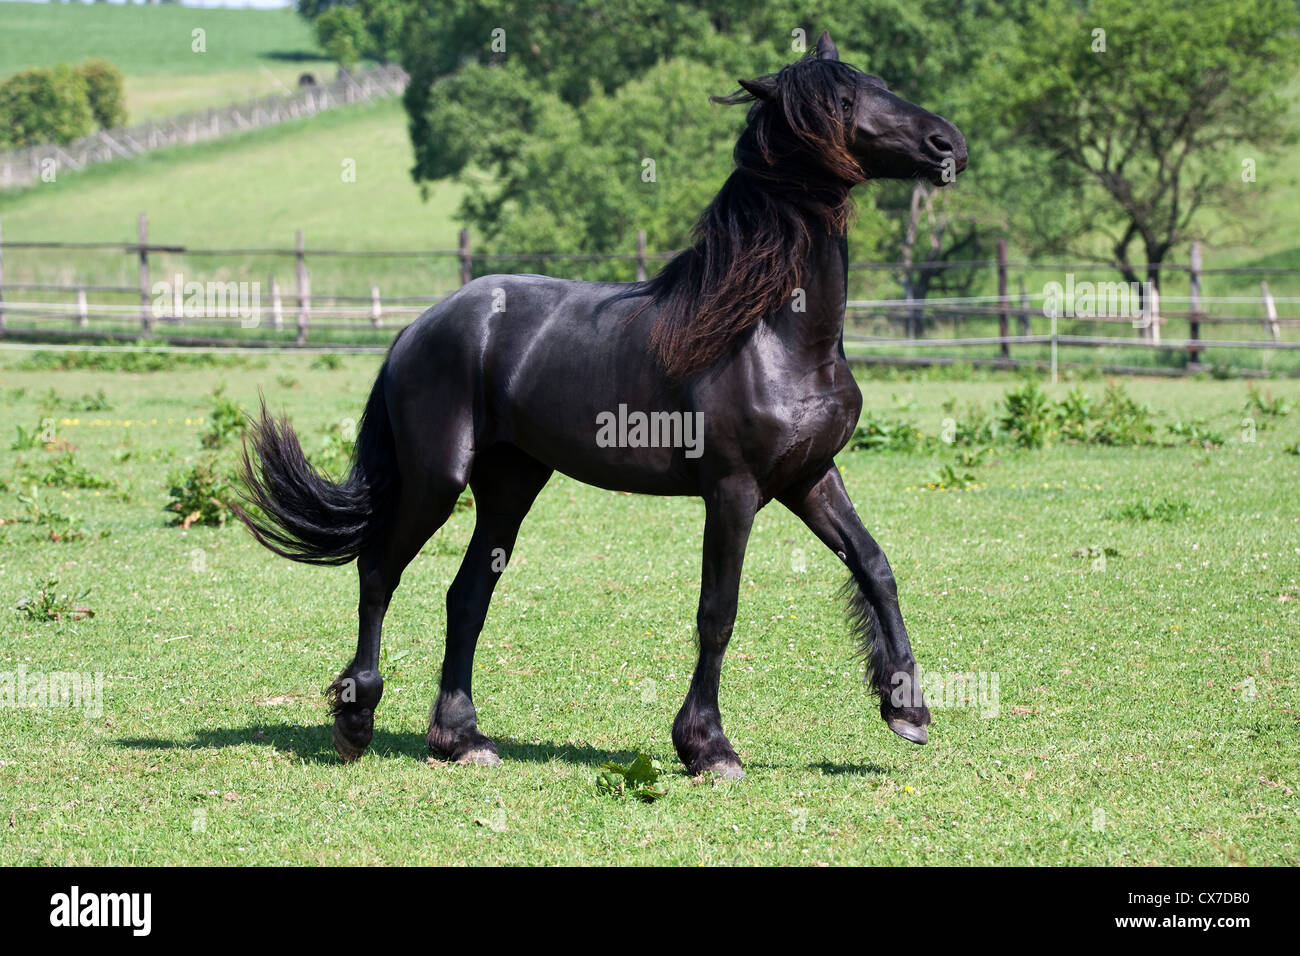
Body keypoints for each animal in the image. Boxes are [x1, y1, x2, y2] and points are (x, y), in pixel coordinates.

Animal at [236, 31, 968, 779]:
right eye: (843, 100)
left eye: (878, 83)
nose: (948, 144)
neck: (775, 333)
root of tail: (420, 326)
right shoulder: (732, 491)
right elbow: (718, 611)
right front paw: (708, 747)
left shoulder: (810, 477)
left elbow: (876, 567)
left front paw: (907, 711)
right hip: (435, 480)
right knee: (379, 571)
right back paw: (356, 720)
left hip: (511, 482)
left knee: (466, 595)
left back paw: (462, 738)